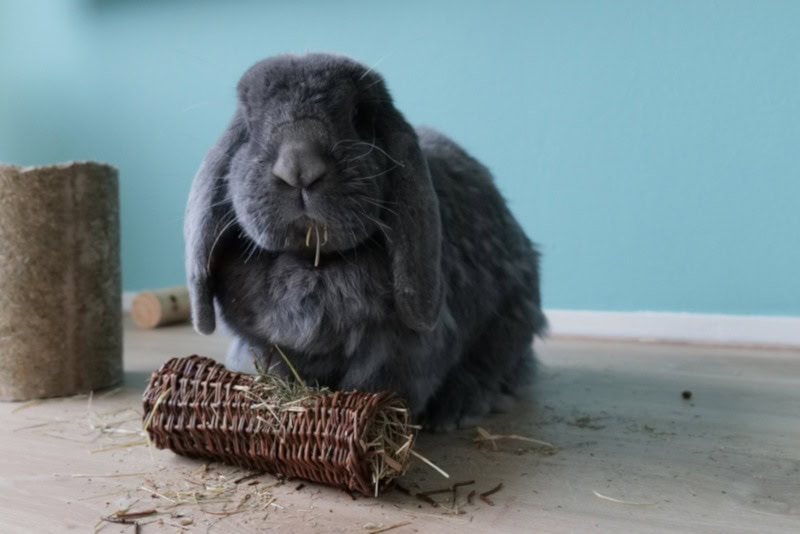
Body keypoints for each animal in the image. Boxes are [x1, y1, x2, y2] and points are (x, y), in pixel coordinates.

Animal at [184, 53, 546, 430]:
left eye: (359, 115)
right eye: (250, 121)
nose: (299, 168)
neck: (312, 264)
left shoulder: (396, 351)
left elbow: (372, 384)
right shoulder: (265, 347)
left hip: (509, 323)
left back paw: (459, 408)